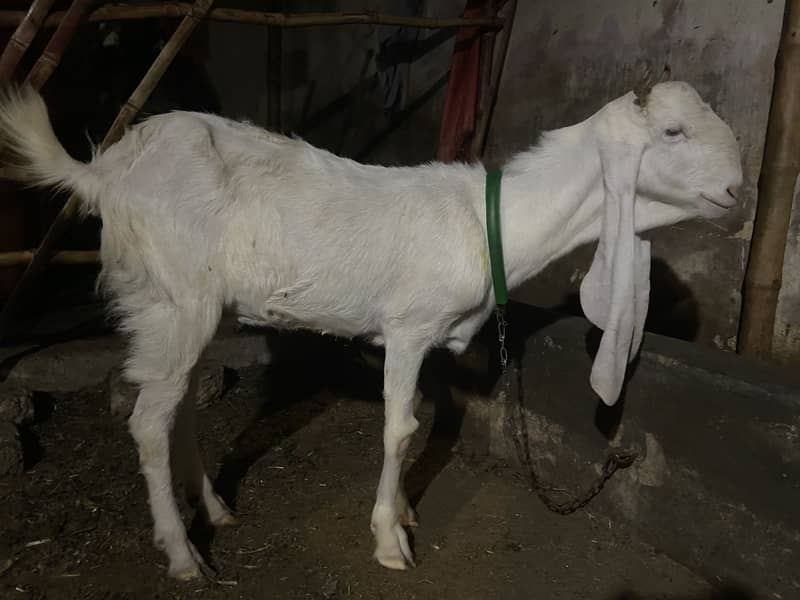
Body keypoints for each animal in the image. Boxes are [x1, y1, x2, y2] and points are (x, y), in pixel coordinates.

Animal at [0, 81, 742, 580]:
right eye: (673, 133)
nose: (739, 192)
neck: (491, 224)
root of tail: (103, 172)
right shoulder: (409, 328)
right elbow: (400, 428)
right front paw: (390, 538)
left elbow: (421, 419)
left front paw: (407, 510)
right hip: (171, 298)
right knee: (149, 421)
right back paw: (184, 555)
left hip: (194, 310)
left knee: (176, 404)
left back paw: (211, 509)